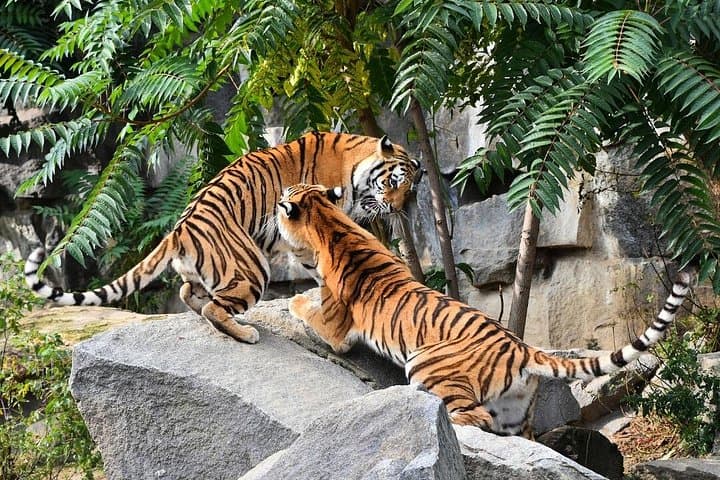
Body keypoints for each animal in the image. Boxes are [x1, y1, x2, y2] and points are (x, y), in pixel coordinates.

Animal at [24, 132, 420, 343]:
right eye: (395, 181)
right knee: (214, 306)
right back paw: (246, 333)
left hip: (211, 271)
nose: (398, 207)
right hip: (252, 268)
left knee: (190, 293)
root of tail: (178, 229)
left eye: (411, 188)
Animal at [276, 183, 691, 437]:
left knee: (473, 415)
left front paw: (293, 301)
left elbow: (307, 308)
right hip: (516, 412)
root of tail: (524, 348)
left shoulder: (337, 329)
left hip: (425, 363)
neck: (327, 221)